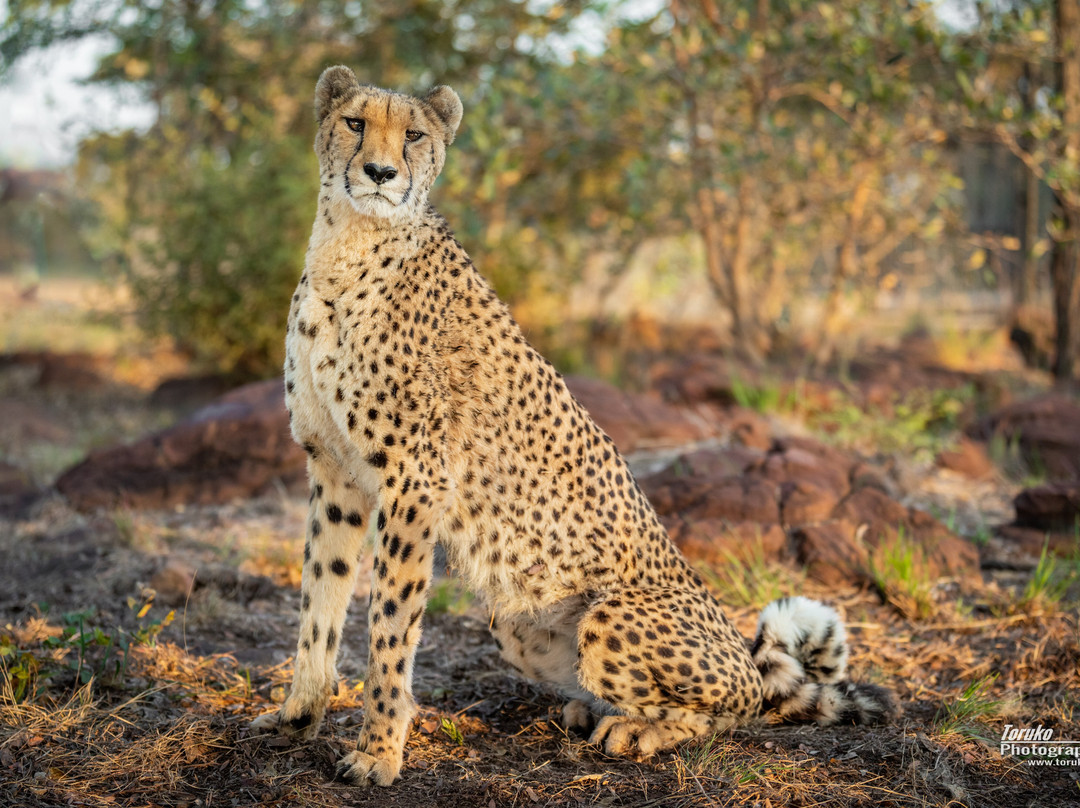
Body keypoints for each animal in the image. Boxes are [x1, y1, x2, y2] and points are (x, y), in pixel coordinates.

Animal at [250, 65, 894, 786]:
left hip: (610, 614)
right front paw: (299, 715)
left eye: (414, 134)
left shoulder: (413, 481)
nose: (381, 172)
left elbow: (390, 625)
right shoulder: (333, 470)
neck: (348, 243)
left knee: (733, 714)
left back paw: (636, 730)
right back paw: (588, 710)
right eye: (355, 123)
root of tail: (742, 656)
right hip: (514, 624)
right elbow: (319, 602)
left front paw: (378, 750)